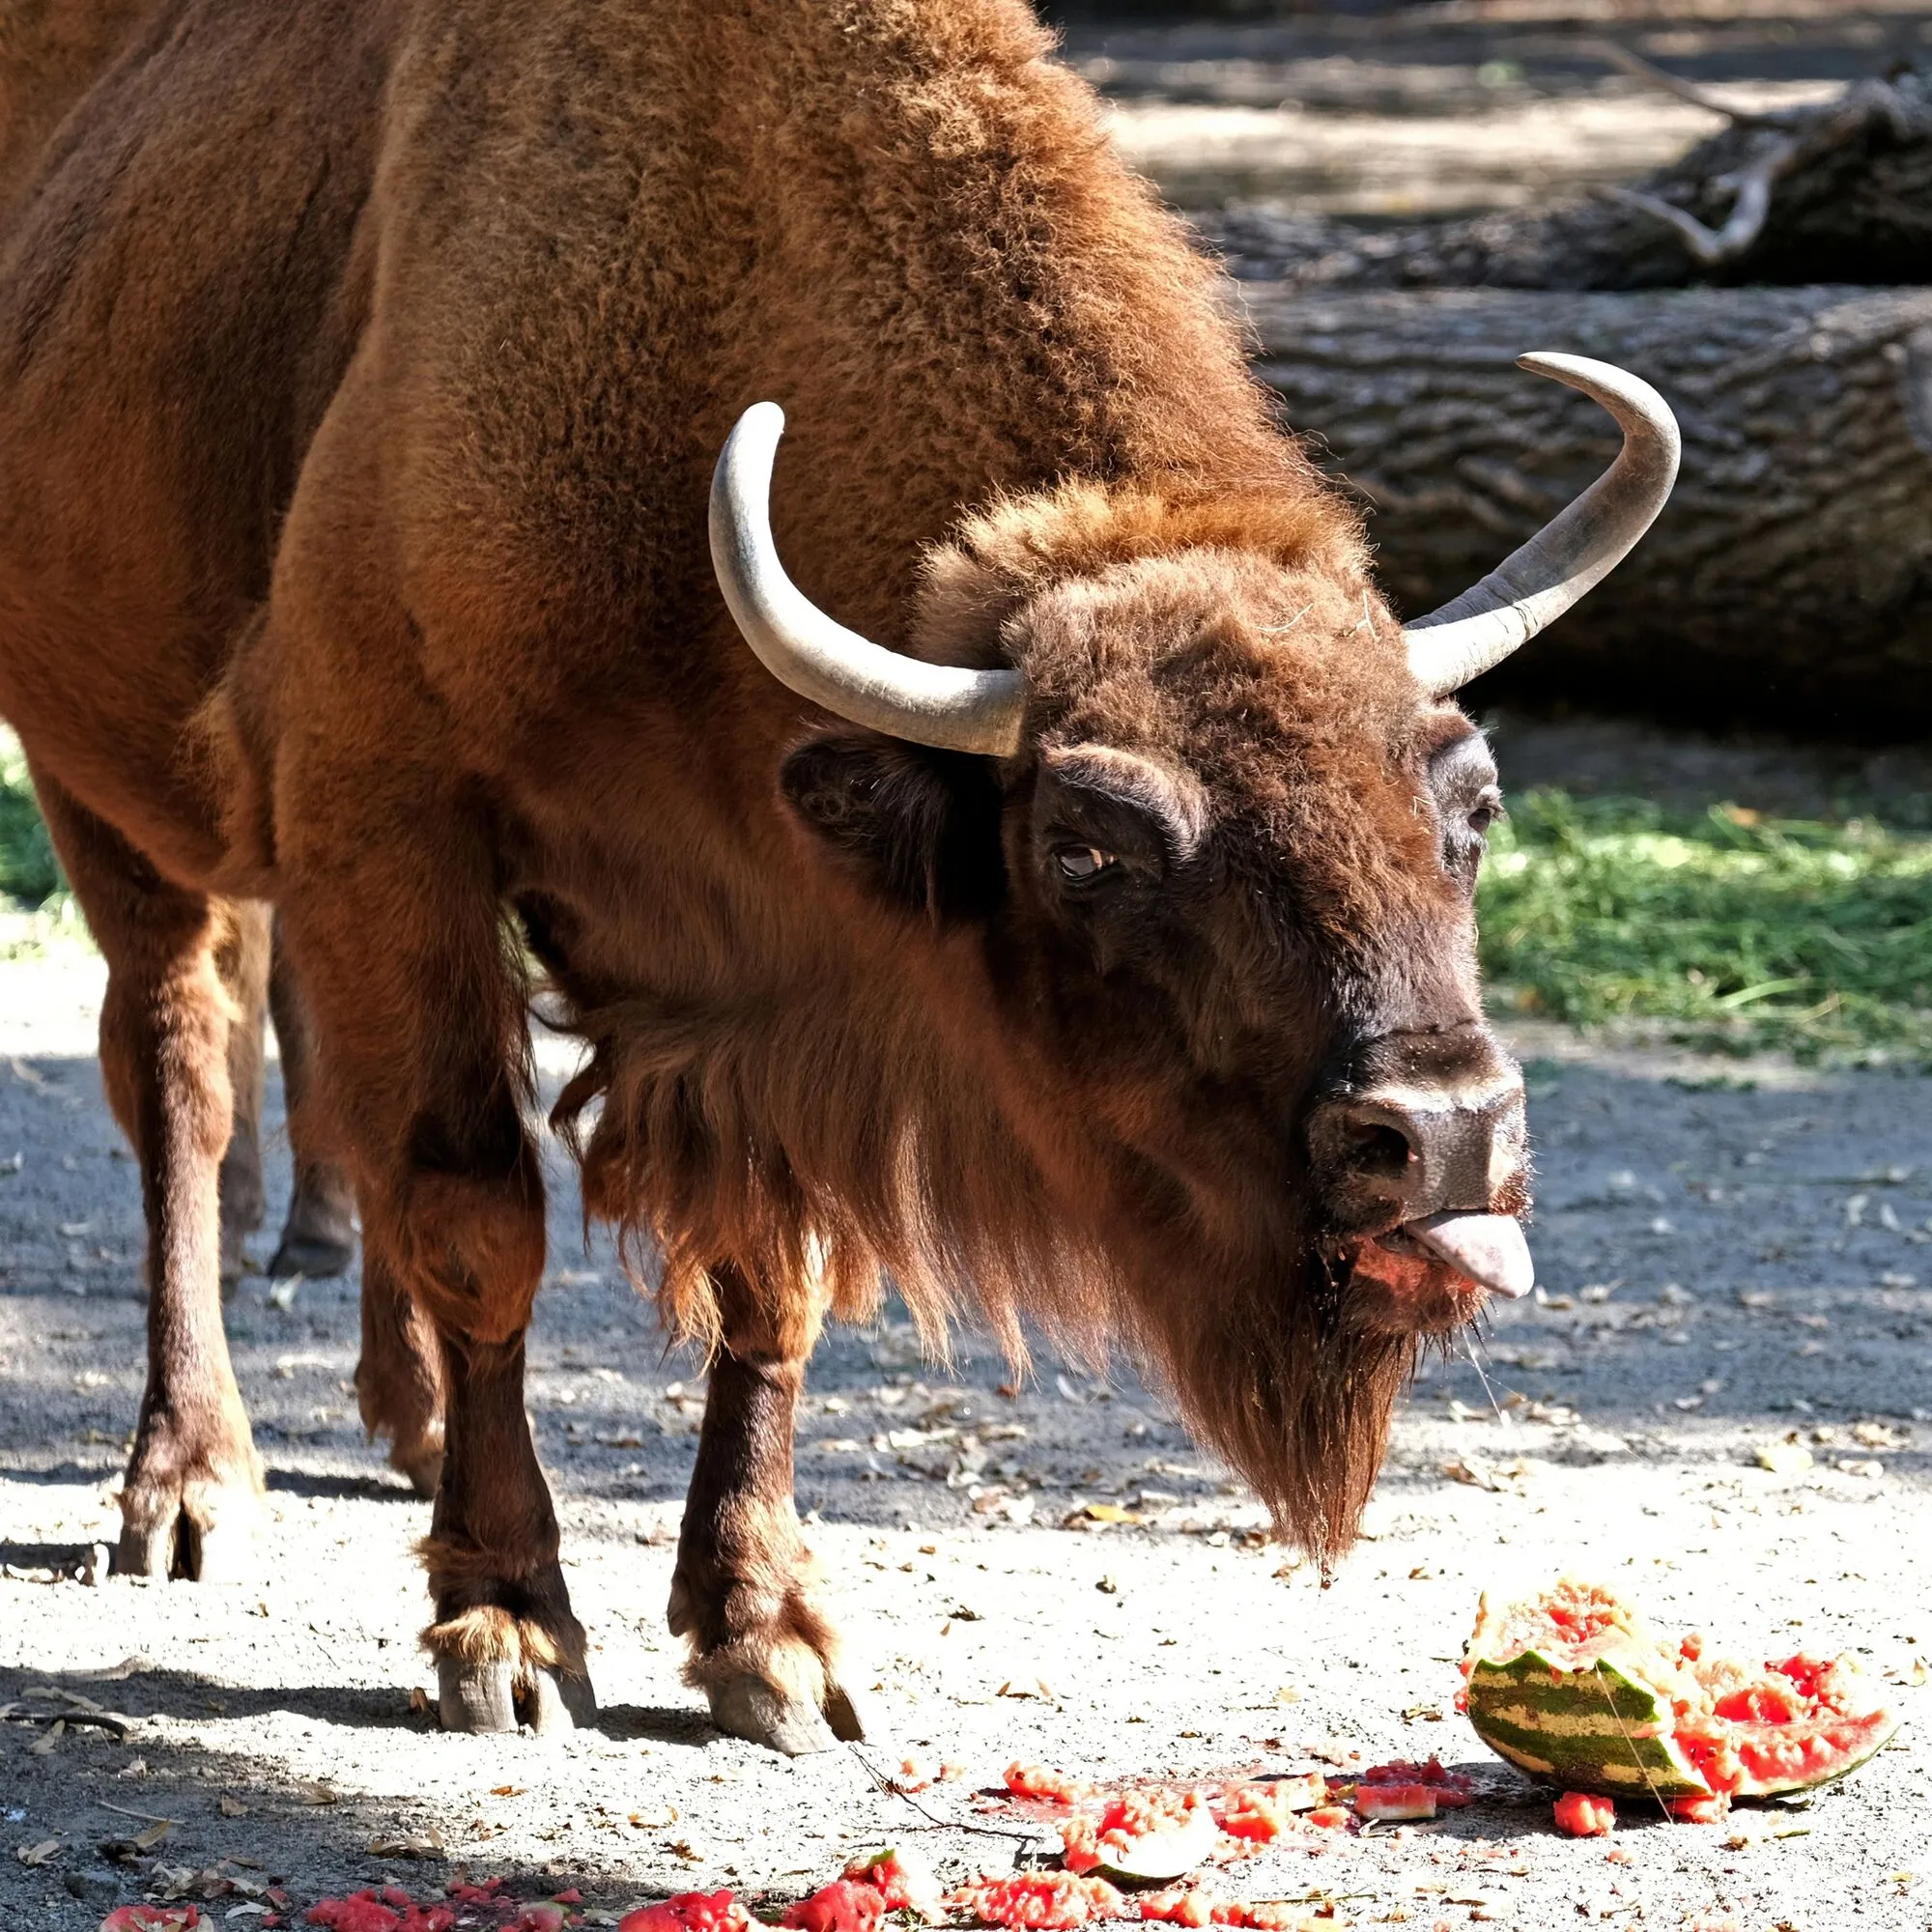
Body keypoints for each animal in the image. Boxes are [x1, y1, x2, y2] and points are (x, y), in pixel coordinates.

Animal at [0, 0, 1677, 1754]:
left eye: (1471, 802)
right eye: (1087, 838)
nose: (1442, 1136)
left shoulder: (769, 982)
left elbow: (773, 1282)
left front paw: (770, 1648)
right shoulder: (393, 819)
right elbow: (480, 1214)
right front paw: (509, 1633)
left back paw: (405, 1424)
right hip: (103, 788)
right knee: (185, 1072)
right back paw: (189, 1486)